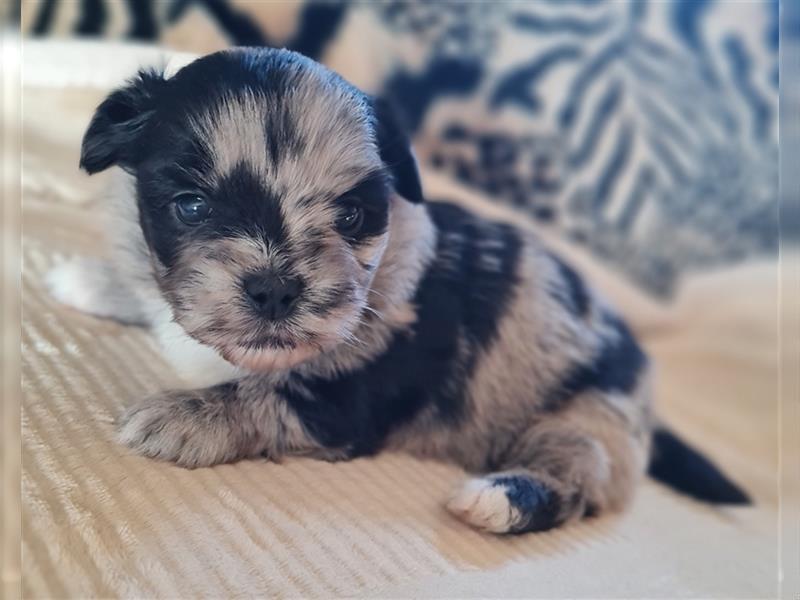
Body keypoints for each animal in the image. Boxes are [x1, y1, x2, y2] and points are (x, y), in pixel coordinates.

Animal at [48, 48, 752, 536]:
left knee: (577, 480)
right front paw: (91, 278)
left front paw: (180, 416)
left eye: (352, 215)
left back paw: (498, 500)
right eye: (192, 206)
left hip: (586, 414)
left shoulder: (349, 399)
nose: (275, 290)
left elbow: (267, 396)